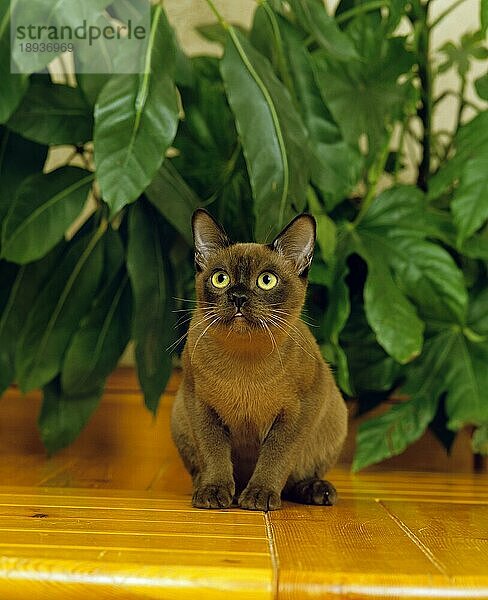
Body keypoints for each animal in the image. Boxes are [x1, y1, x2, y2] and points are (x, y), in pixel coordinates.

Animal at [171, 209, 346, 508]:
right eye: (221, 279)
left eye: (266, 280)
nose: (238, 297)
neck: (245, 358)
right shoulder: (200, 404)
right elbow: (213, 453)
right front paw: (214, 491)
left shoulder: (298, 411)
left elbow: (276, 457)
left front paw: (260, 495)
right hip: (179, 414)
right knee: (202, 469)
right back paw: (212, 489)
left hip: (335, 415)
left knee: (298, 476)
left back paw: (315, 490)